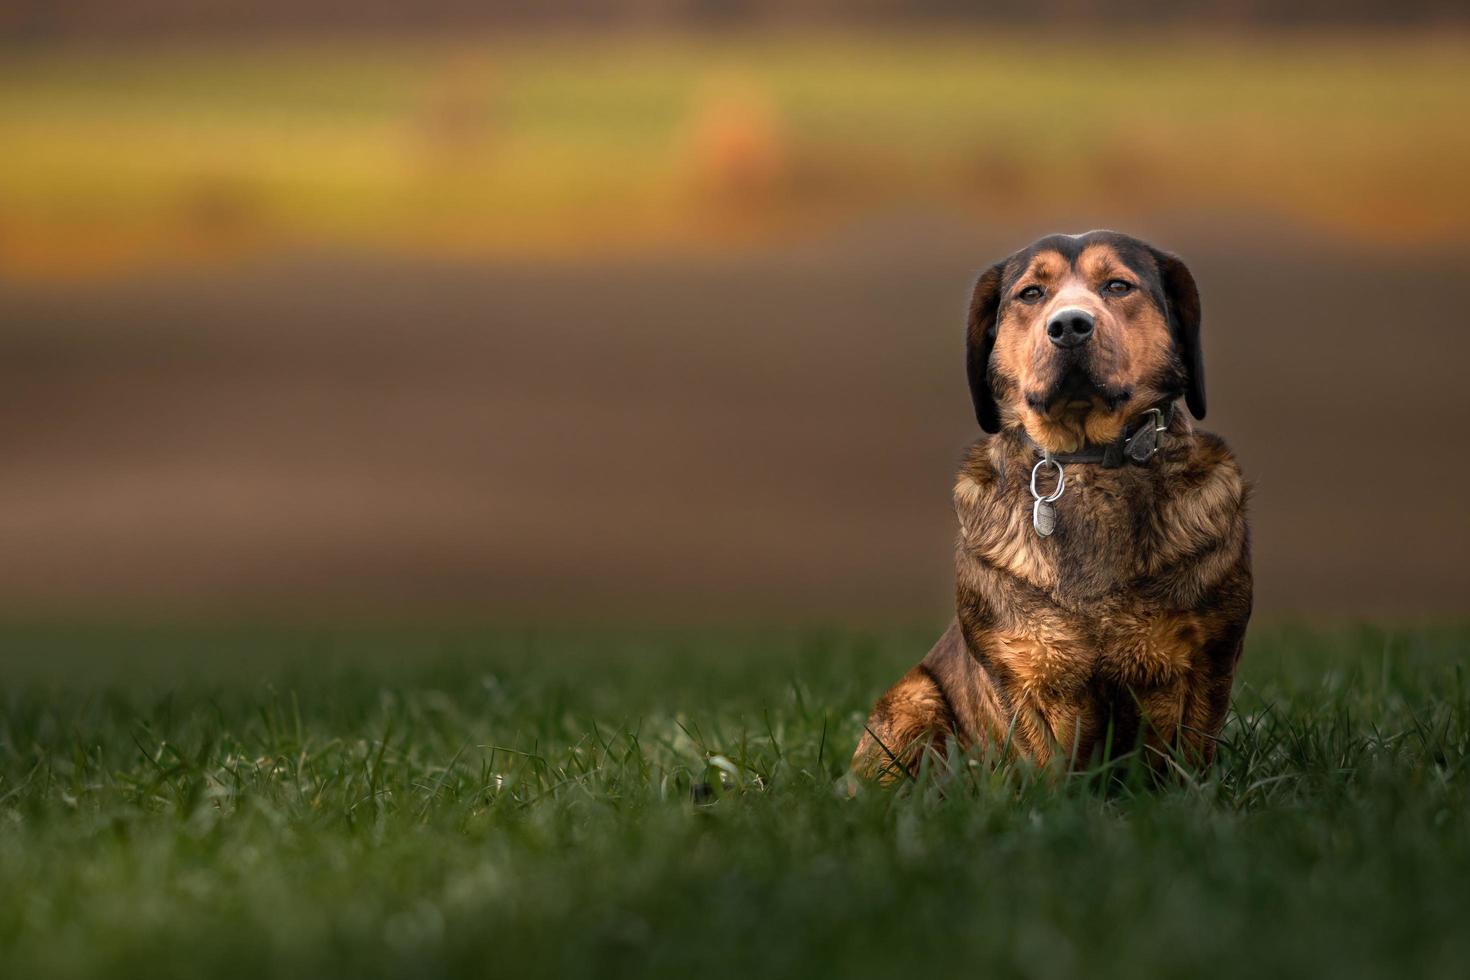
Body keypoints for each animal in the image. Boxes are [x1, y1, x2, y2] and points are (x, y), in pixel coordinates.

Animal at [852, 230, 1252, 781]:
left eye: (1117, 285)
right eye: (1031, 294)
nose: (1068, 326)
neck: (1087, 459)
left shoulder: (1206, 657)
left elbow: (1186, 757)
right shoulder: (1024, 677)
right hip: (911, 704)